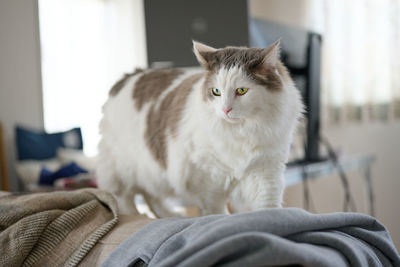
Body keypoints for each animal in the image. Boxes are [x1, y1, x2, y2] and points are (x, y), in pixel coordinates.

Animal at [97, 40, 304, 218]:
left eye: (241, 91)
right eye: (216, 92)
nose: (225, 109)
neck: (242, 132)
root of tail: (129, 76)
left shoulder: (265, 170)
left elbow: (268, 206)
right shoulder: (208, 179)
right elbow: (216, 211)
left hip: (152, 171)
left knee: (152, 197)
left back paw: (171, 216)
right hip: (124, 168)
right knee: (124, 198)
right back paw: (135, 215)